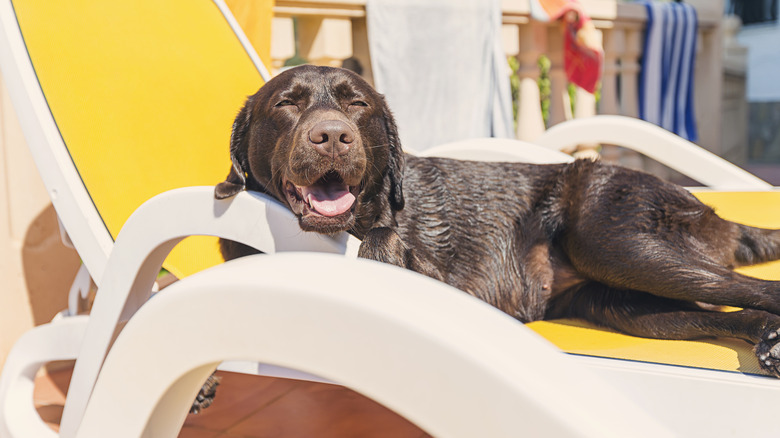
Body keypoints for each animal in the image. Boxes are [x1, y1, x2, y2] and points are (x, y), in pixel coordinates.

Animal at [216, 65, 780, 376]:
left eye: (357, 104)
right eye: (286, 104)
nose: (333, 135)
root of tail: (717, 213)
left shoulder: (443, 282)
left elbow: (384, 241)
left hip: (615, 240)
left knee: (757, 290)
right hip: (630, 306)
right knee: (726, 312)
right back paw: (767, 339)